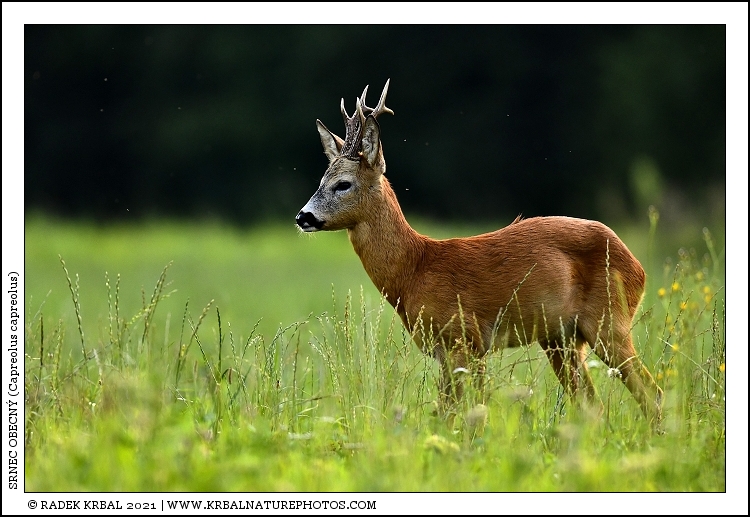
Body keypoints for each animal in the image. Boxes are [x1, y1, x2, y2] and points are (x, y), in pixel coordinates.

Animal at [296, 79, 663, 427]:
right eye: (320, 180)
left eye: (343, 183)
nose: (303, 217)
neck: (414, 270)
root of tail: (637, 265)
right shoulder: (446, 351)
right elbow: (448, 414)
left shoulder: (466, 339)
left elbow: (469, 413)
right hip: (561, 338)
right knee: (592, 405)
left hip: (609, 320)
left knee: (651, 391)